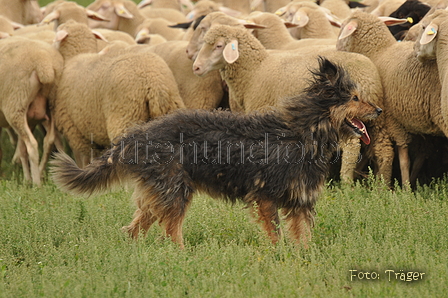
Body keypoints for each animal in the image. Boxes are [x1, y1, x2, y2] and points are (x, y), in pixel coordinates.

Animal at [0, 35, 64, 184]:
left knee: (32, 145)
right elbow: (21, 150)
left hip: (15, 104)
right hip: (51, 105)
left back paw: (36, 183)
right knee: (49, 140)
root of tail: (45, 65)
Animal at [51, 57, 382, 248]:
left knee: (137, 226)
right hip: (176, 190)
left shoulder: (300, 199)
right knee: (170, 231)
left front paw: (304, 257)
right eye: (355, 98)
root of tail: (136, 136)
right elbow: (275, 235)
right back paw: (181, 255)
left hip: (161, 192)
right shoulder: (265, 196)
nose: (379, 109)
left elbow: (303, 237)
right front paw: (278, 254)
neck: (305, 130)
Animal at [52, 19, 184, 166]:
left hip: (125, 118)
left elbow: (84, 161)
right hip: (172, 109)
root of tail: (154, 83)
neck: (76, 56)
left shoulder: (76, 133)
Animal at [338, 11, 446, 186]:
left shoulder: (391, 119)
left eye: (342, 27)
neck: (378, 51)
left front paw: (401, 187)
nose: (336, 48)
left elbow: (401, 158)